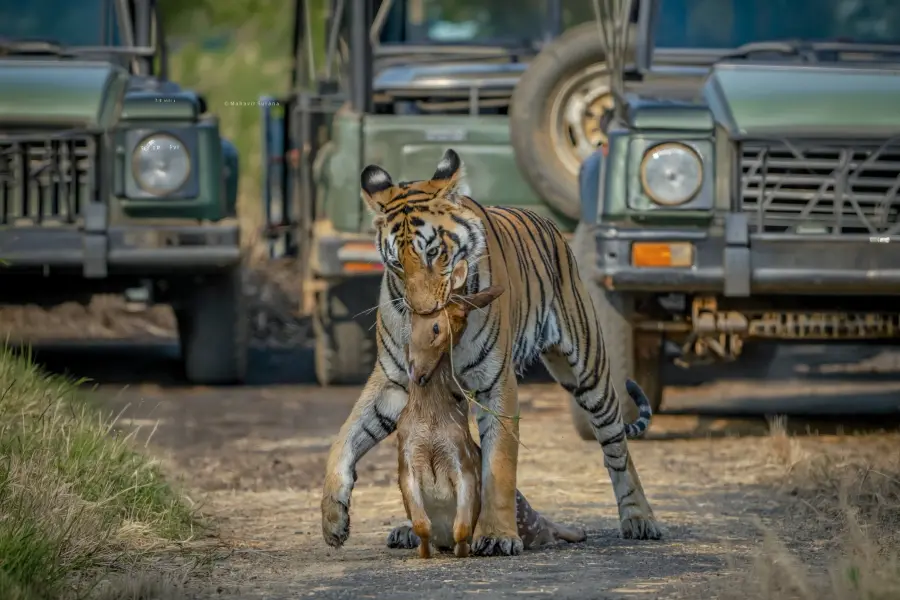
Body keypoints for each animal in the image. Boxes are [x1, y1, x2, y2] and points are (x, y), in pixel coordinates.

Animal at [321, 148, 662, 556]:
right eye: (397, 263)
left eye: (433, 253)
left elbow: (498, 463)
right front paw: (333, 520)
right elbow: (344, 437)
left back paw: (640, 518)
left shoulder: (496, 382)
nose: (423, 312)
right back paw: (406, 531)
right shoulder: (394, 380)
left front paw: (498, 535)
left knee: (618, 451)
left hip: (590, 371)